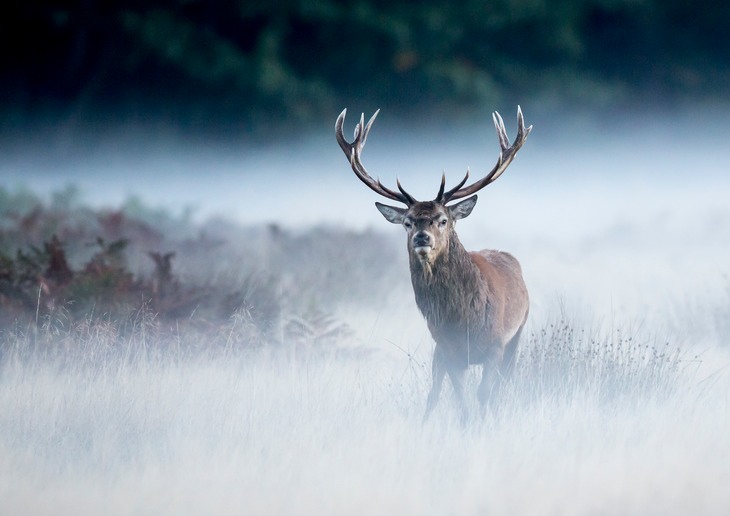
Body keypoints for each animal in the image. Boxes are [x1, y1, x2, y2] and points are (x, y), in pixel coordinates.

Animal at [334, 107, 528, 422]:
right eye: (408, 221)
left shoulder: (496, 344)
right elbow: (459, 399)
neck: (461, 320)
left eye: (443, 219)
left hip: (517, 334)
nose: (422, 237)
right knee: (433, 394)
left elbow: (485, 395)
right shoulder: (447, 350)